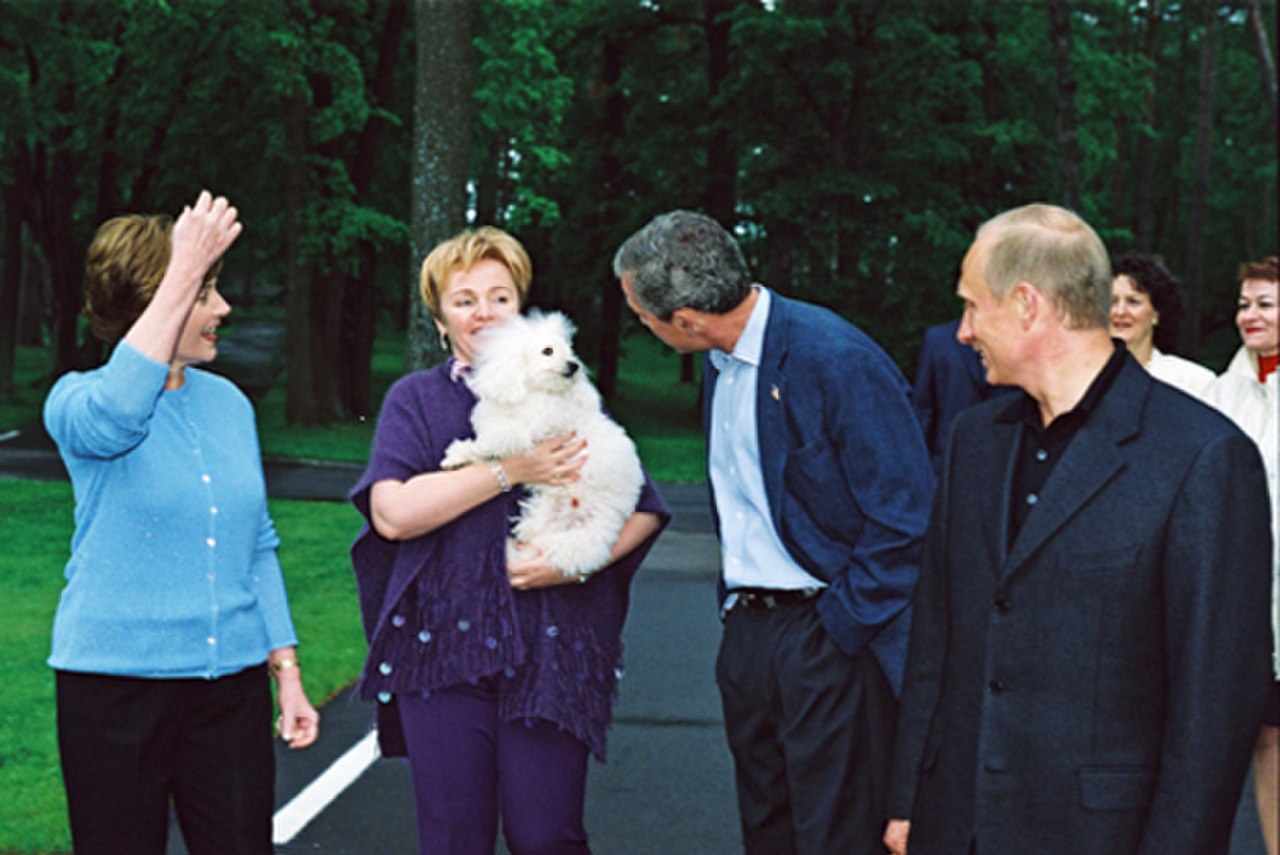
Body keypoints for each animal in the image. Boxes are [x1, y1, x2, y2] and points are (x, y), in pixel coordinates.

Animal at [442, 311, 645, 578]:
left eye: (570, 351)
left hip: (583, 537)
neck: (534, 392)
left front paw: (471, 449)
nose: (574, 365)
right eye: (548, 351)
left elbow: (500, 437)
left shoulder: (540, 424)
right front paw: (457, 457)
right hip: (540, 516)